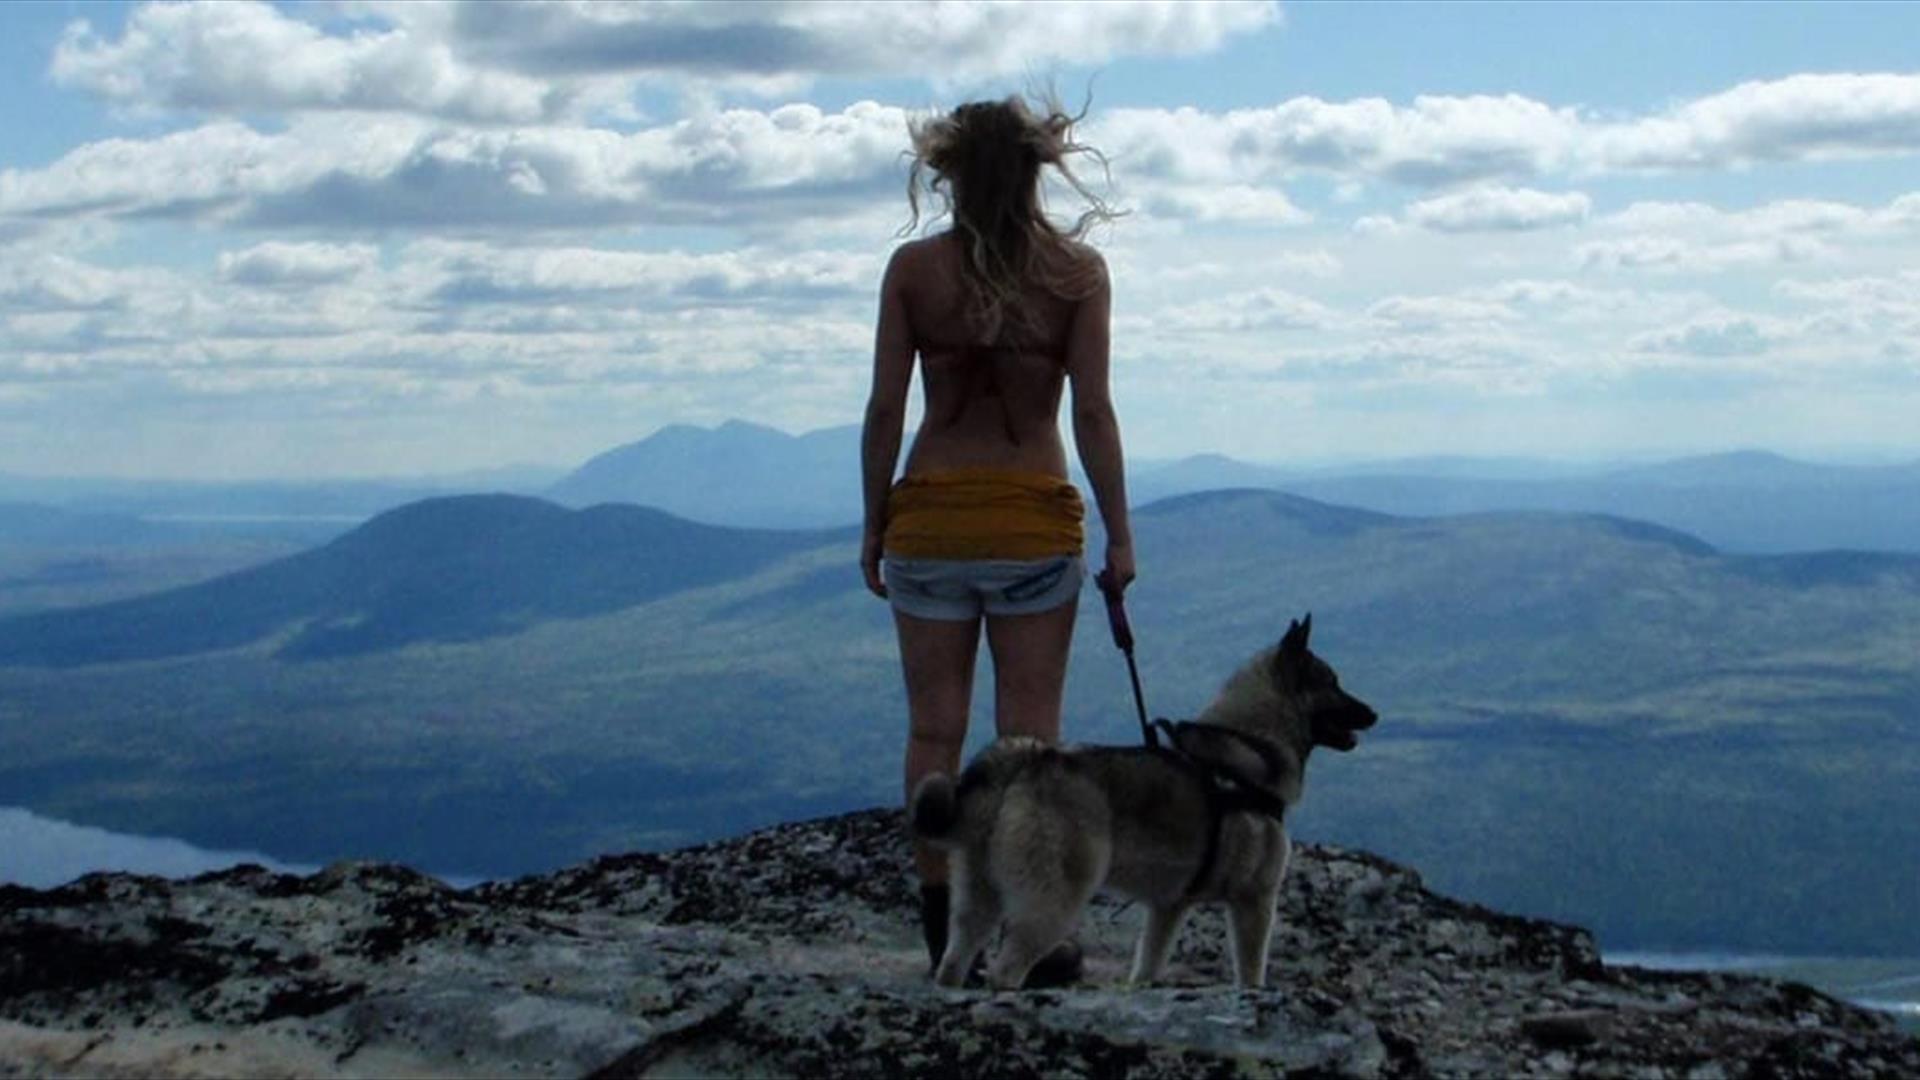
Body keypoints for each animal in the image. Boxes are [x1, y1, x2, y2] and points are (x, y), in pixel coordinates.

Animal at [906, 614, 1374, 983]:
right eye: (1332, 683)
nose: (1374, 713)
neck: (1250, 742)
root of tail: (1026, 759)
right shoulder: (1255, 902)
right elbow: (1251, 974)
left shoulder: (1168, 908)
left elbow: (1147, 967)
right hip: (1054, 901)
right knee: (1006, 970)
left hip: (978, 896)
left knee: (954, 960)